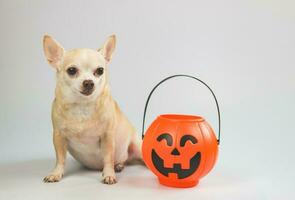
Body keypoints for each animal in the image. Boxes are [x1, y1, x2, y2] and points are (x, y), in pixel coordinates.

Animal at [42, 34, 142, 184]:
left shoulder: (107, 136)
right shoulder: (58, 136)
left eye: (100, 71)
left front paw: (108, 174)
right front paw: (56, 173)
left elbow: (108, 158)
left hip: (137, 146)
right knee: (123, 161)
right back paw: (119, 165)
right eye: (72, 70)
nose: (89, 82)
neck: (82, 106)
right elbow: (60, 159)